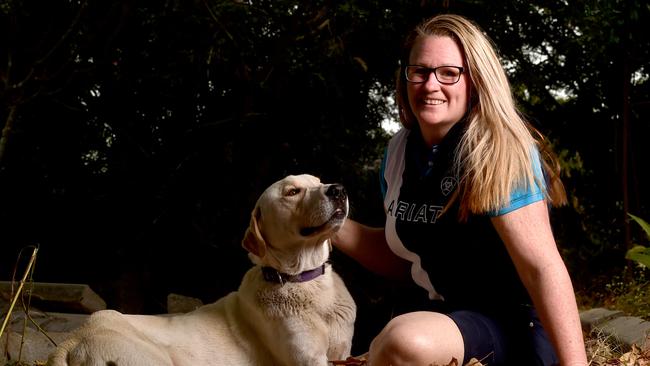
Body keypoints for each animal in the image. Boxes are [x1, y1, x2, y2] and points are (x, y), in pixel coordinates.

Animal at [46, 174, 354, 366]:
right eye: (292, 191)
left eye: (319, 181)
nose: (338, 189)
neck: (303, 280)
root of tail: (70, 340)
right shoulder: (310, 359)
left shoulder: (343, 353)